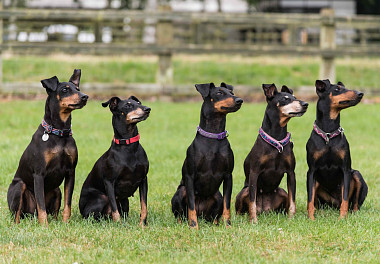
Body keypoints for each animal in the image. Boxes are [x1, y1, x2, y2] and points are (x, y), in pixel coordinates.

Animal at [7, 68, 87, 225]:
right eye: (65, 90)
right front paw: (44, 226)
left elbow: (67, 204)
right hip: (19, 186)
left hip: (57, 190)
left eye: (78, 89)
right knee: (17, 214)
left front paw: (66, 223)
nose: (85, 97)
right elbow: (41, 205)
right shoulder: (39, 174)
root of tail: (30, 214)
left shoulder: (70, 172)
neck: (59, 133)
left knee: (54, 211)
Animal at [79, 95, 151, 225]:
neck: (128, 147)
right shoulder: (109, 181)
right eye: (128, 105)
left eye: (139, 103)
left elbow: (144, 206)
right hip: (101, 198)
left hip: (125, 201)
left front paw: (142, 224)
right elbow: (114, 208)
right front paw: (118, 225)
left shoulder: (144, 179)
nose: (148, 109)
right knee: (92, 217)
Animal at [171, 83, 242, 229]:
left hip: (217, 196)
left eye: (232, 92)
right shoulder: (190, 176)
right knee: (181, 214)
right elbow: (191, 205)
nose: (240, 100)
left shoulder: (228, 175)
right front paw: (194, 226)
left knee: (214, 216)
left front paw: (228, 225)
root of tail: (201, 214)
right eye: (219, 93)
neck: (213, 136)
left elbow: (227, 205)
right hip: (180, 192)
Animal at [235, 84, 308, 223]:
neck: (277, 139)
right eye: (285, 99)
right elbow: (252, 201)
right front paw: (253, 221)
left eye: (295, 97)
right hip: (244, 191)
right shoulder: (254, 173)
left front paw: (291, 219)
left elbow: (293, 201)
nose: (305, 104)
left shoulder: (291, 173)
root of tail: (264, 210)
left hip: (282, 192)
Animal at [306, 79, 368, 220]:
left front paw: (342, 218)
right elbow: (310, 199)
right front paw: (310, 219)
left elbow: (345, 198)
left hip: (356, 175)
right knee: (317, 202)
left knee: (354, 204)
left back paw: (353, 214)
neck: (328, 134)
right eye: (337, 89)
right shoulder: (311, 171)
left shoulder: (345, 170)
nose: (360, 93)